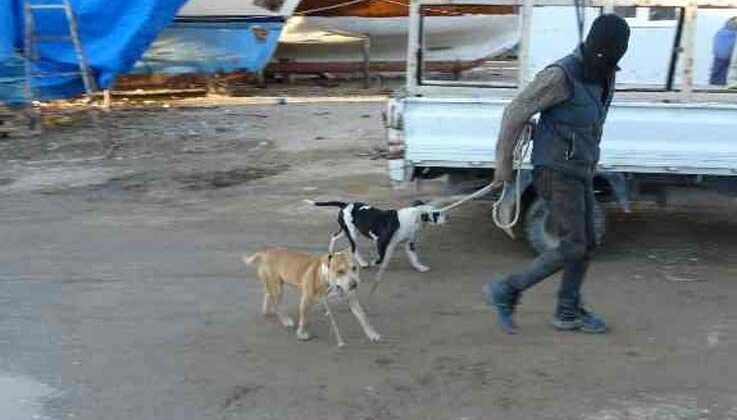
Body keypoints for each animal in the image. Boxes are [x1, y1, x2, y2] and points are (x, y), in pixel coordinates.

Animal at [244, 248, 380, 346]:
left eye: (354, 268)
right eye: (340, 272)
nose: (354, 284)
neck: (327, 277)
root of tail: (265, 253)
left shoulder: (352, 299)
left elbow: (363, 318)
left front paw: (372, 334)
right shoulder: (306, 300)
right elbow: (304, 318)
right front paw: (302, 334)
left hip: (274, 284)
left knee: (268, 295)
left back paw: (266, 311)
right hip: (277, 288)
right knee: (277, 304)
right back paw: (285, 320)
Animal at [304, 200, 446, 292]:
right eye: (437, 213)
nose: (448, 216)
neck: (415, 216)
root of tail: (345, 205)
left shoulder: (409, 243)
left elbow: (414, 258)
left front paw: (420, 267)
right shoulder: (381, 241)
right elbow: (381, 257)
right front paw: (375, 262)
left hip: (346, 231)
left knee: (334, 236)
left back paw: (331, 251)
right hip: (352, 233)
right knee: (354, 249)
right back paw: (363, 263)